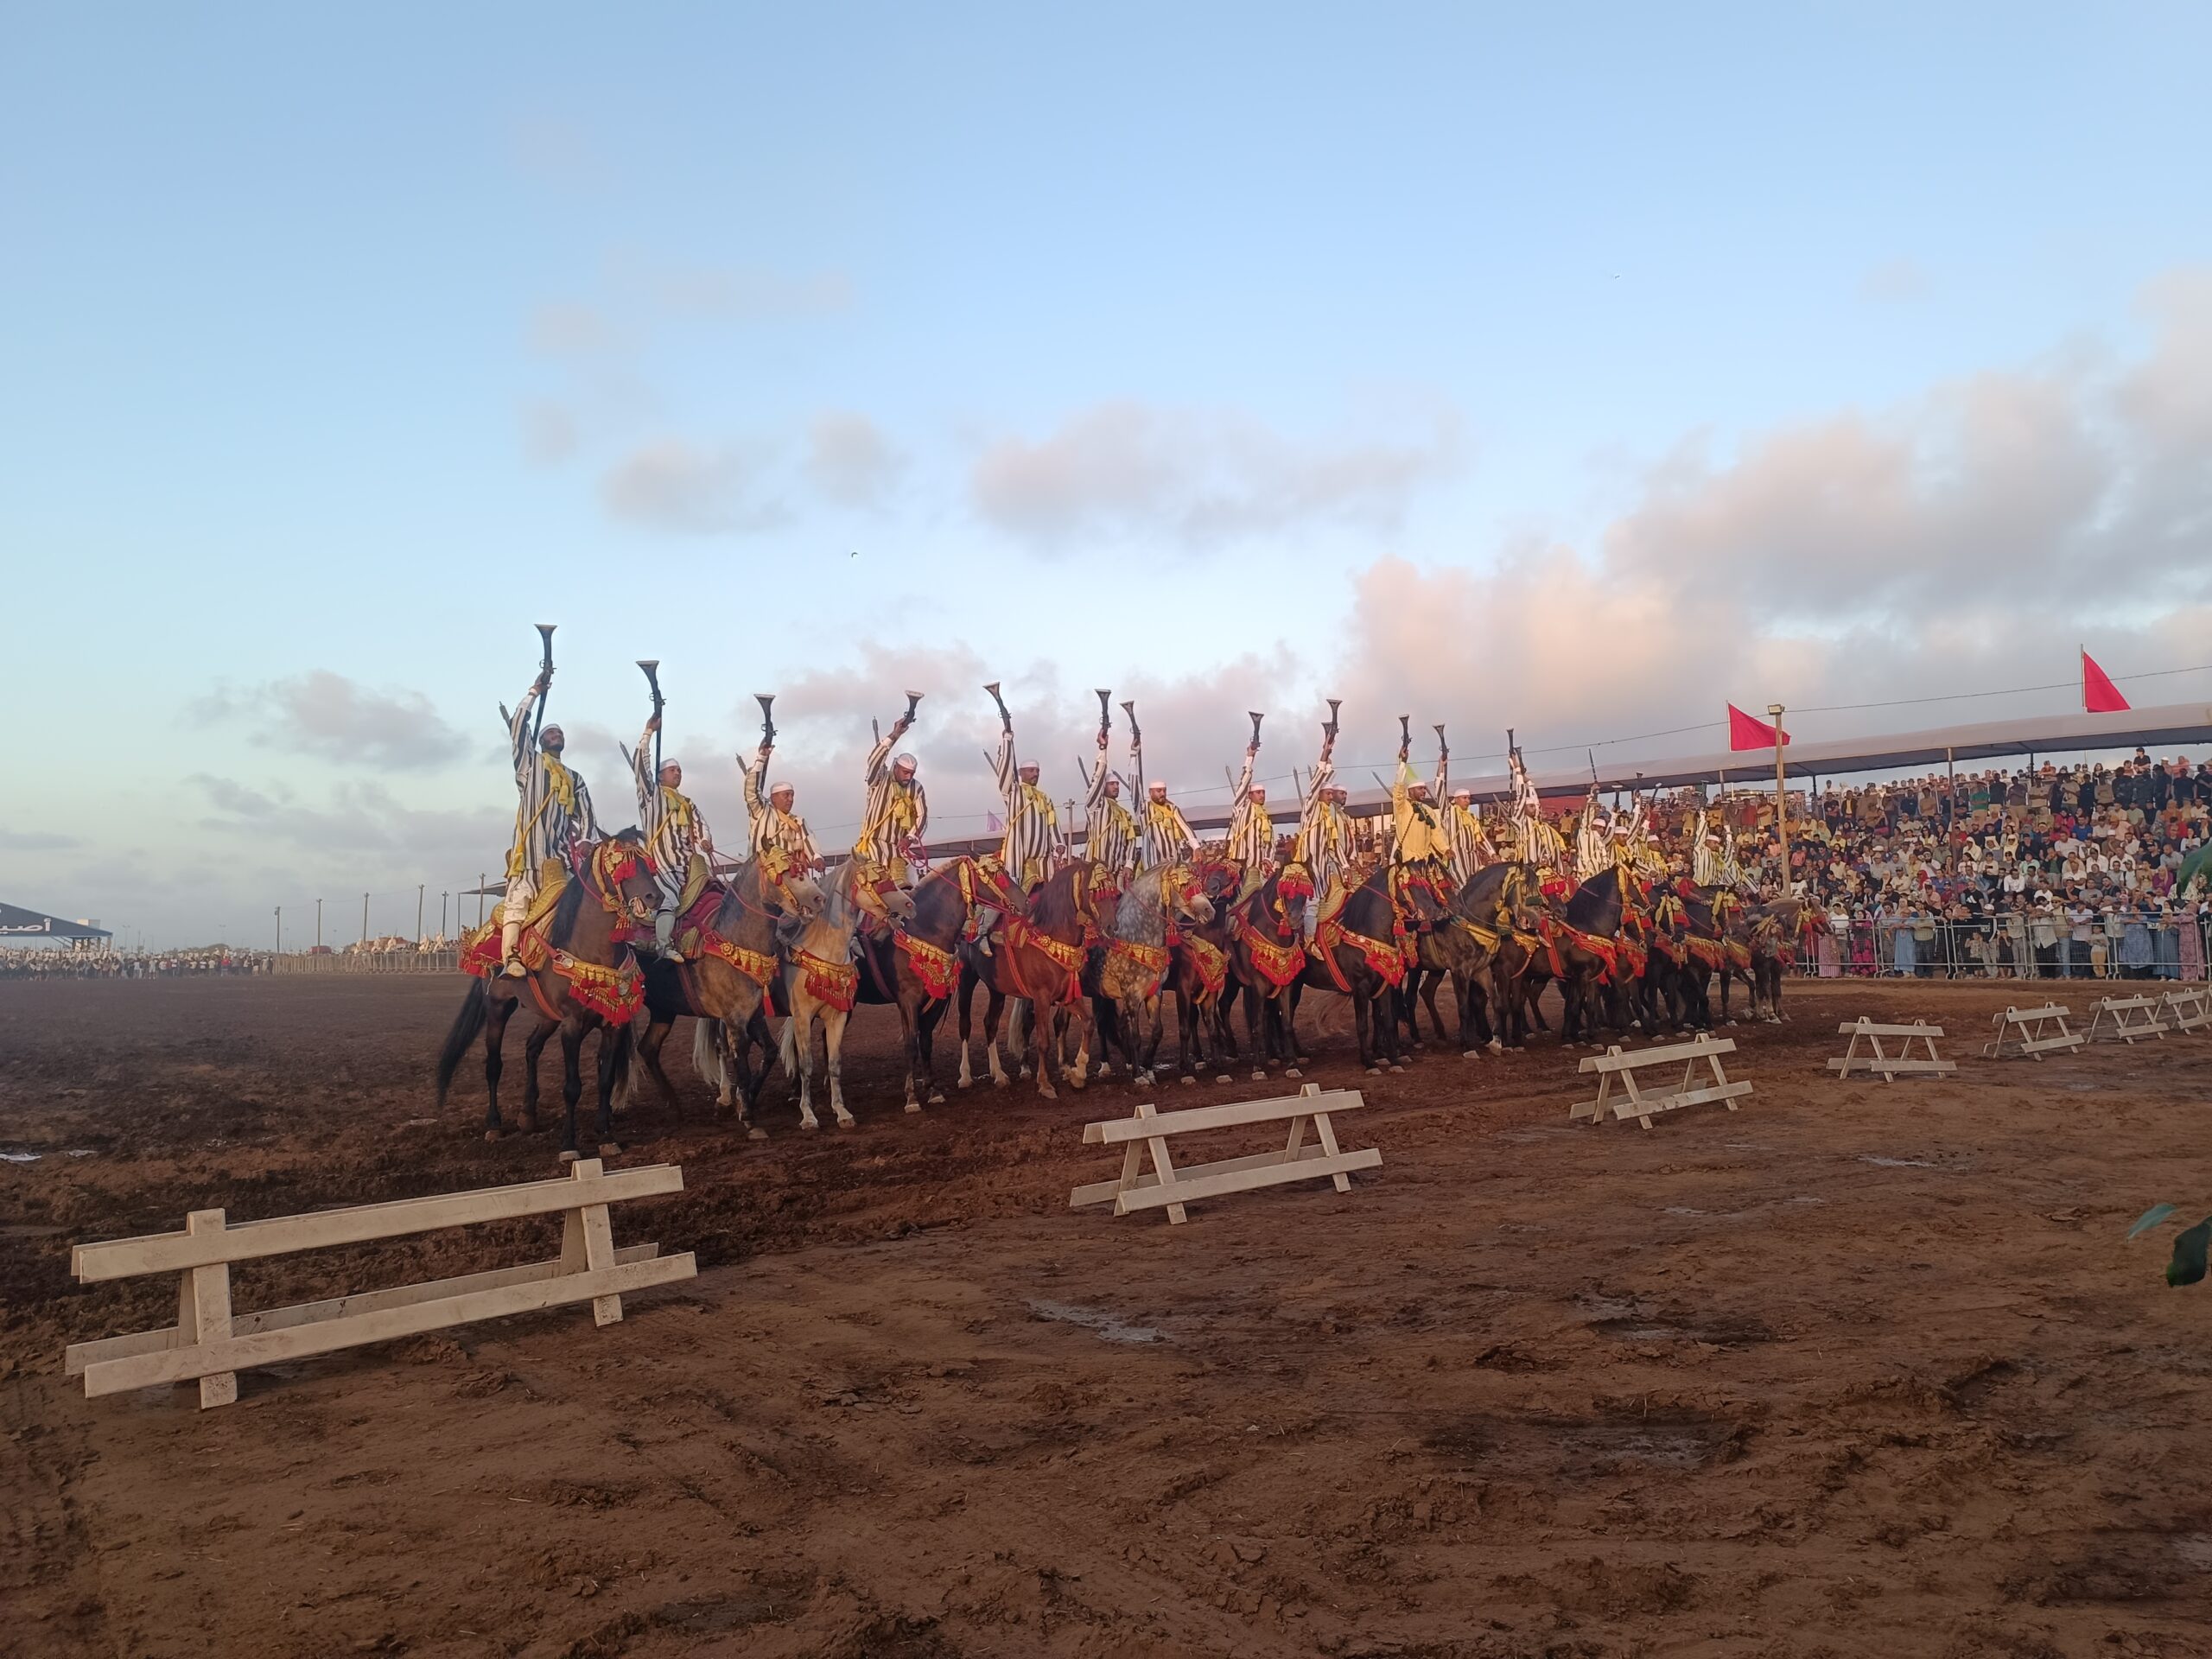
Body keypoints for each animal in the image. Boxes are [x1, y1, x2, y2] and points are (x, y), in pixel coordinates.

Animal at [433, 844, 664, 1159]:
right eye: (620, 863)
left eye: (647, 862)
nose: (656, 896)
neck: (593, 950)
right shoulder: (572, 1024)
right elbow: (572, 1086)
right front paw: (569, 1145)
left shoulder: (612, 1024)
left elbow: (605, 1081)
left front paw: (606, 1136)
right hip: (498, 1007)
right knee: (494, 1064)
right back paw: (494, 1125)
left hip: (547, 1016)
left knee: (532, 1048)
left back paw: (528, 1114)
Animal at [854, 858, 1026, 1119]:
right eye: (993, 873)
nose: (1025, 902)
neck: (923, 931)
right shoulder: (908, 1001)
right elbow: (910, 1045)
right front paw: (912, 1098)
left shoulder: (936, 1000)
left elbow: (926, 1042)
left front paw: (933, 1090)